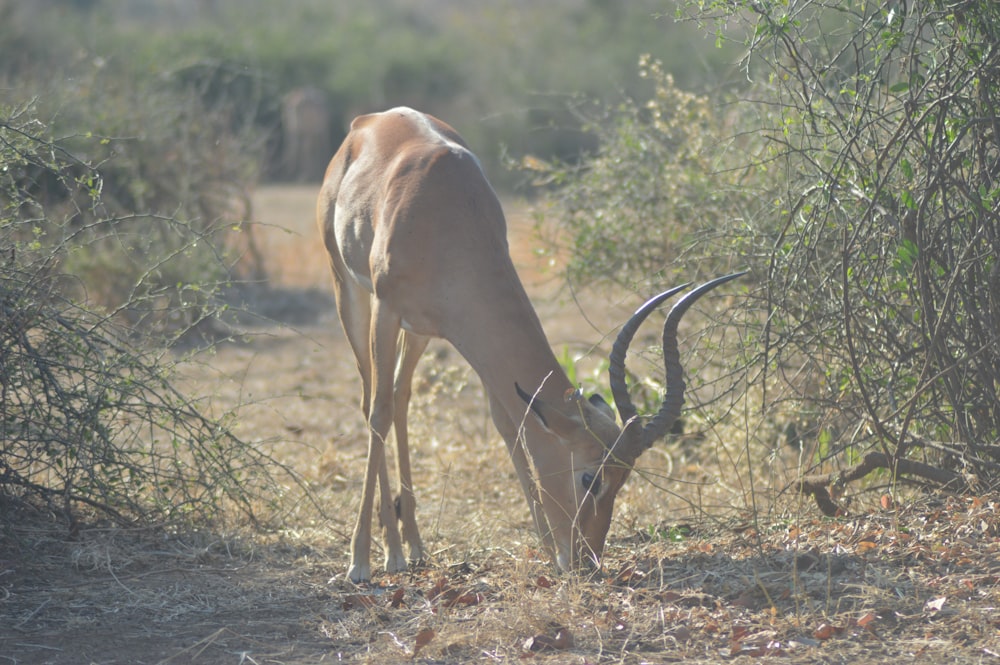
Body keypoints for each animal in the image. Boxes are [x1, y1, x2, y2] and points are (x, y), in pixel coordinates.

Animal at [320, 106, 744, 580]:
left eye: (625, 478)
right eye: (590, 478)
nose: (586, 560)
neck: (446, 211)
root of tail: (369, 120)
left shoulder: (468, 336)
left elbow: (509, 424)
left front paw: (545, 547)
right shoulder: (386, 307)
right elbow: (376, 412)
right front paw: (360, 561)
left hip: (419, 333)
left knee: (400, 398)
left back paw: (413, 545)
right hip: (350, 295)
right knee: (373, 402)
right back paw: (390, 552)